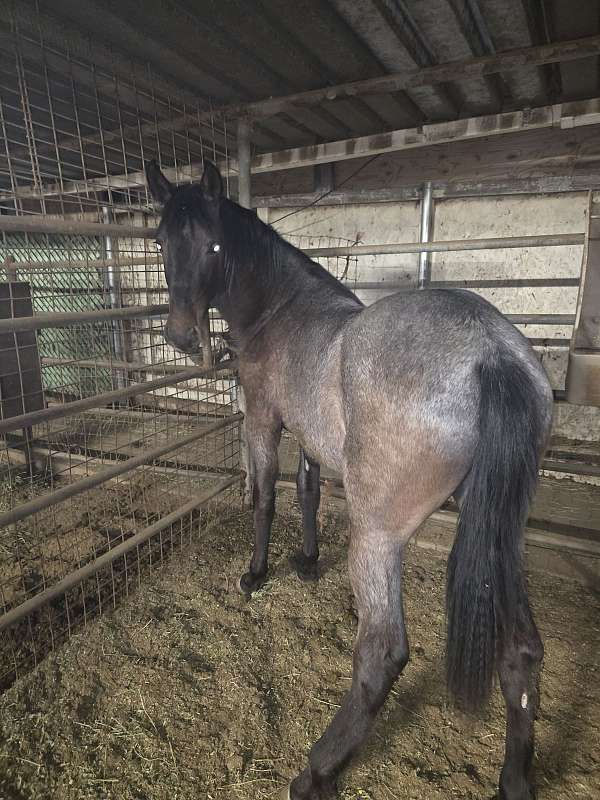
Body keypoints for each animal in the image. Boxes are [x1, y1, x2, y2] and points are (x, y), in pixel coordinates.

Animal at [146, 159, 553, 800]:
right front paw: (308, 562)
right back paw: (513, 779)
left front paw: (255, 573)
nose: (183, 337)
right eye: (161, 242)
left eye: (212, 245)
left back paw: (315, 769)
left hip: (379, 537)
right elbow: (309, 494)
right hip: (499, 532)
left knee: (380, 653)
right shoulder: (311, 436)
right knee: (522, 652)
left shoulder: (264, 419)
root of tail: (491, 354)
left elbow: (267, 497)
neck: (283, 311)